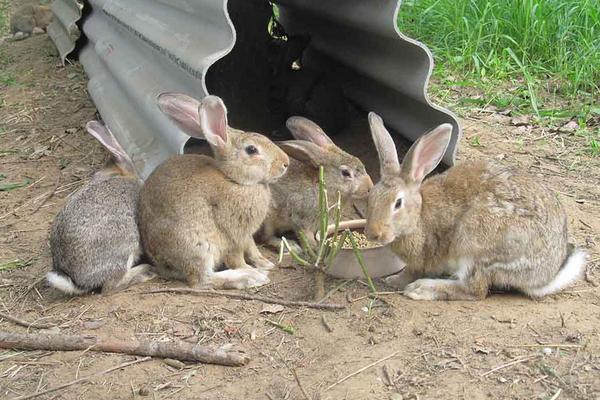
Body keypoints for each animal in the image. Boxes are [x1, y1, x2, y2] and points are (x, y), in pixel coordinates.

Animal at [141, 93, 290, 288]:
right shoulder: (233, 235)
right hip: (198, 247)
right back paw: (249, 278)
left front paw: (265, 263)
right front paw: (253, 270)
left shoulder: (246, 236)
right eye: (251, 150)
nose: (286, 163)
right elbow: (237, 258)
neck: (234, 180)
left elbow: (252, 248)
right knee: (201, 280)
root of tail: (162, 265)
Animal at [260, 114, 372, 250]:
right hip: (267, 219)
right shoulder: (300, 218)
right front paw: (314, 247)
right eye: (346, 173)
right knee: (266, 238)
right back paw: (291, 246)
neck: (323, 185)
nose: (370, 187)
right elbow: (305, 236)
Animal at [364, 112, 588, 300]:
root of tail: (543, 275)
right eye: (370, 197)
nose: (373, 234)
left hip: (476, 243)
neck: (418, 217)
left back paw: (421, 289)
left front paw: (395, 281)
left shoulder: (423, 256)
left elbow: (411, 271)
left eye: (397, 203)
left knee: (475, 289)